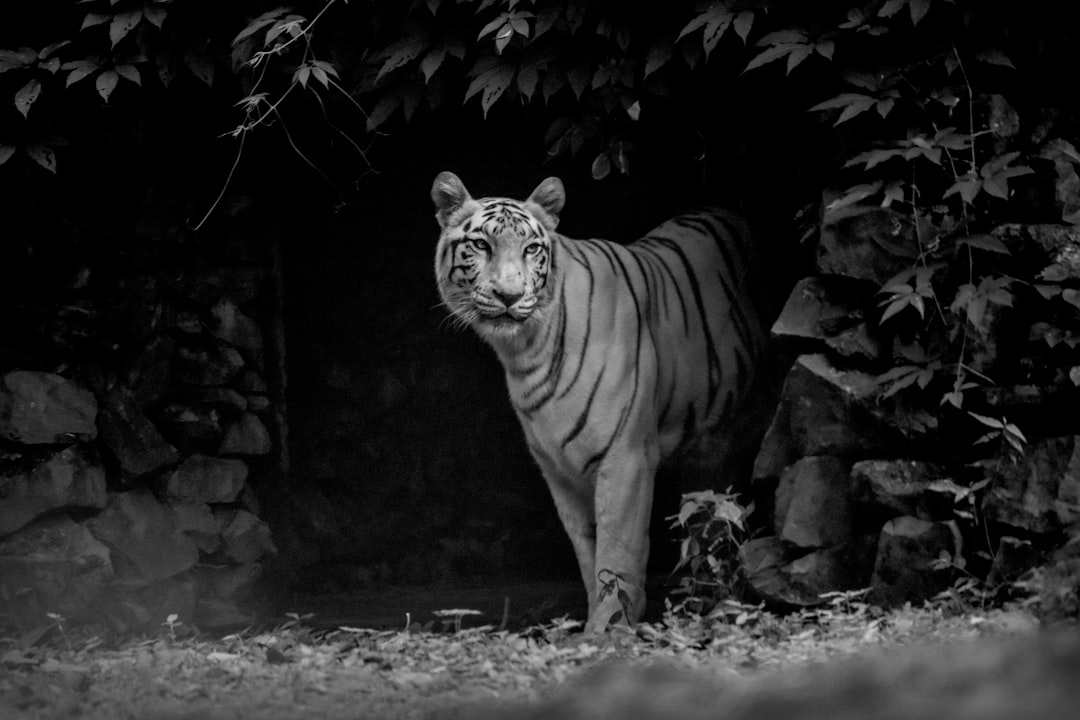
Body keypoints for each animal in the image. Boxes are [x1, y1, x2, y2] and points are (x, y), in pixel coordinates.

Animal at [429, 171, 768, 634]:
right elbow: (588, 550)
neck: (526, 351)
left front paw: (609, 629)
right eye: (481, 245)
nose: (509, 295)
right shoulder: (558, 470)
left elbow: (617, 551)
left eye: (531, 248)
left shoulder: (626, 458)